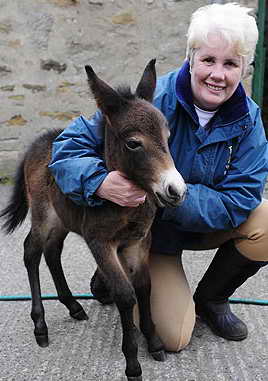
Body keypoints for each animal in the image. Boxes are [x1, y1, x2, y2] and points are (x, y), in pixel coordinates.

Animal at [0, 60, 186, 380]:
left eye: (168, 136)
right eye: (133, 143)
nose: (176, 190)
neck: (126, 206)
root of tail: (40, 141)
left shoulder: (138, 243)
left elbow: (144, 287)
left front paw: (154, 342)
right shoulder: (100, 243)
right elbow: (125, 294)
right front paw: (132, 362)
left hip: (62, 220)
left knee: (52, 252)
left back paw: (73, 306)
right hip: (44, 216)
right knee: (31, 251)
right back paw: (40, 326)